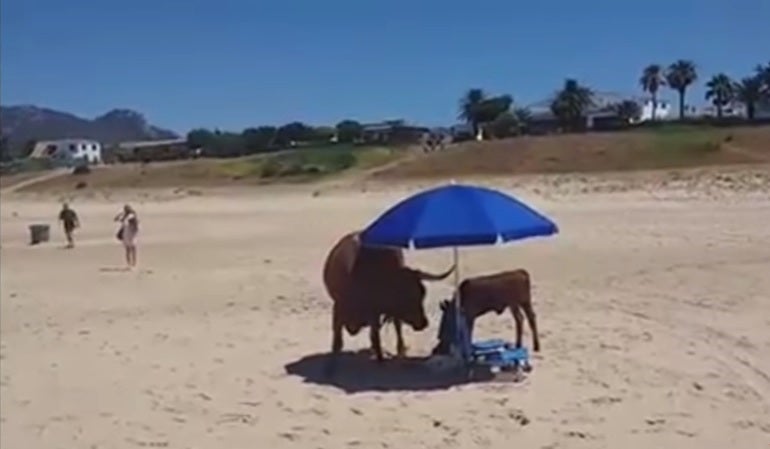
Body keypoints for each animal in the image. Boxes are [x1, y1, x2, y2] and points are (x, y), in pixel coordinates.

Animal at [322, 231, 455, 375]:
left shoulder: (375, 312)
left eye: (422, 293)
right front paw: (330, 369)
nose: (423, 323)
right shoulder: (339, 308)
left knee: (395, 327)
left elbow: (376, 335)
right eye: (405, 295)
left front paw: (381, 357)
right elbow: (338, 341)